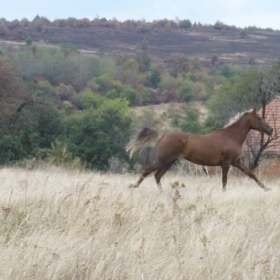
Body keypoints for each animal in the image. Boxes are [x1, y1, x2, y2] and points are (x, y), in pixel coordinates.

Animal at [126, 108, 274, 191]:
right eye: (259, 118)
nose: (270, 129)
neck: (231, 136)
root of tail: (164, 134)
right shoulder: (226, 163)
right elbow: (224, 180)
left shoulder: (236, 162)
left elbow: (251, 174)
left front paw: (267, 188)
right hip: (163, 160)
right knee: (148, 171)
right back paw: (133, 186)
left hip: (169, 162)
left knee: (157, 175)